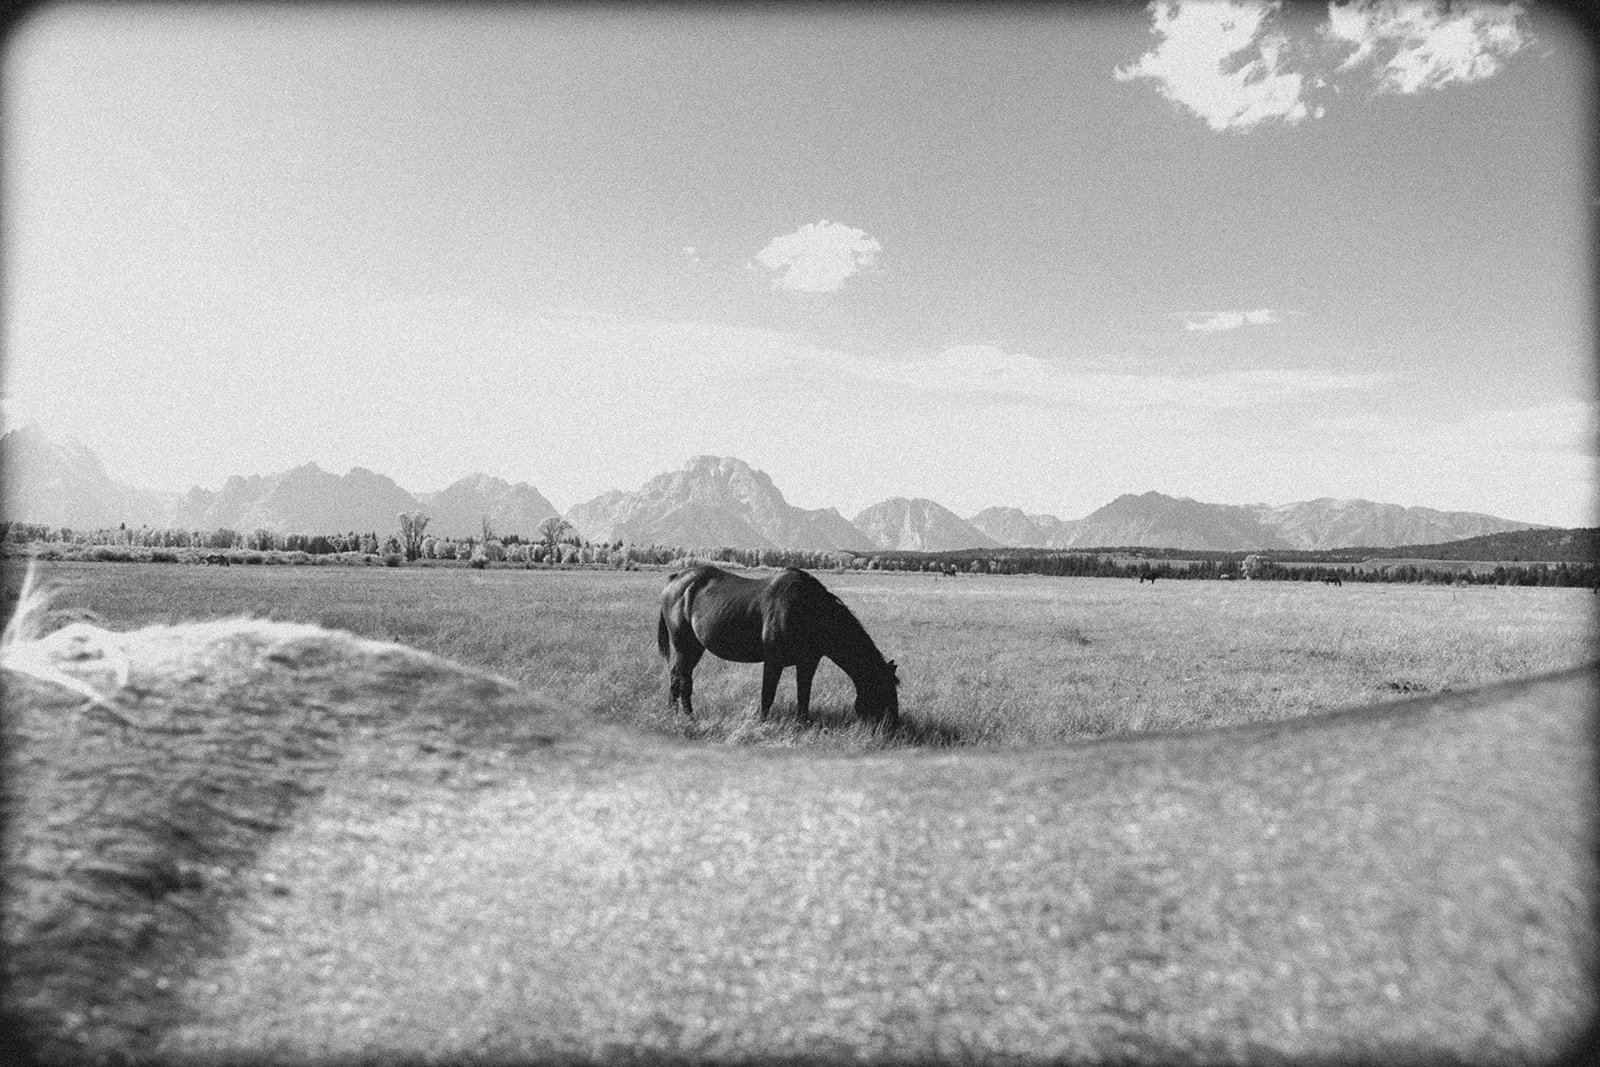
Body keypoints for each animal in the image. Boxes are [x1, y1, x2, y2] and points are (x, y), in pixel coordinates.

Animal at [658, 565, 900, 730]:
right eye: (884, 691)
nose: (895, 727)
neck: (808, 609)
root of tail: (676, 580)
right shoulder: (773, 661)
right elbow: (768, 694)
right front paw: (762, 723)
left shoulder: (808, 662)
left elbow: (804, 694)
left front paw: (802, 723)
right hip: (684, 645)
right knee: (682, 679)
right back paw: (688, 716)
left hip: (694, 648)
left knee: (677, 676)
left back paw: (674, 713)